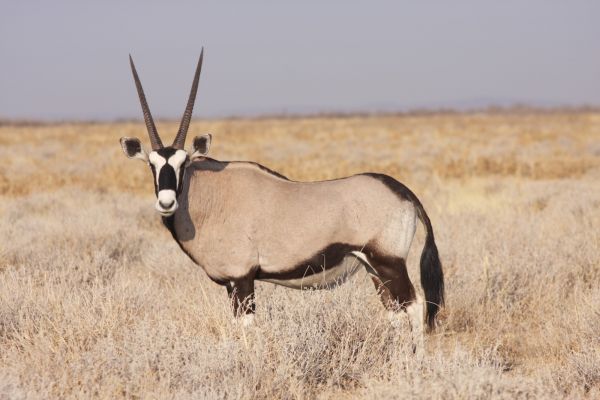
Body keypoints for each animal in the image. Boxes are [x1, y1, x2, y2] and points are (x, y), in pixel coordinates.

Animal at [119, 50, 442, 350]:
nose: (166, 203)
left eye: (183, 163)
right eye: (152, 165)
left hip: (389, 262)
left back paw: (414, 361)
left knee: (414, 306)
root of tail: (403, 191)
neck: (210, 198)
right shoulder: (231, 285)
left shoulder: (243, 279)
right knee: (395, 313)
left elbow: (247, 328)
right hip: (375, 269)